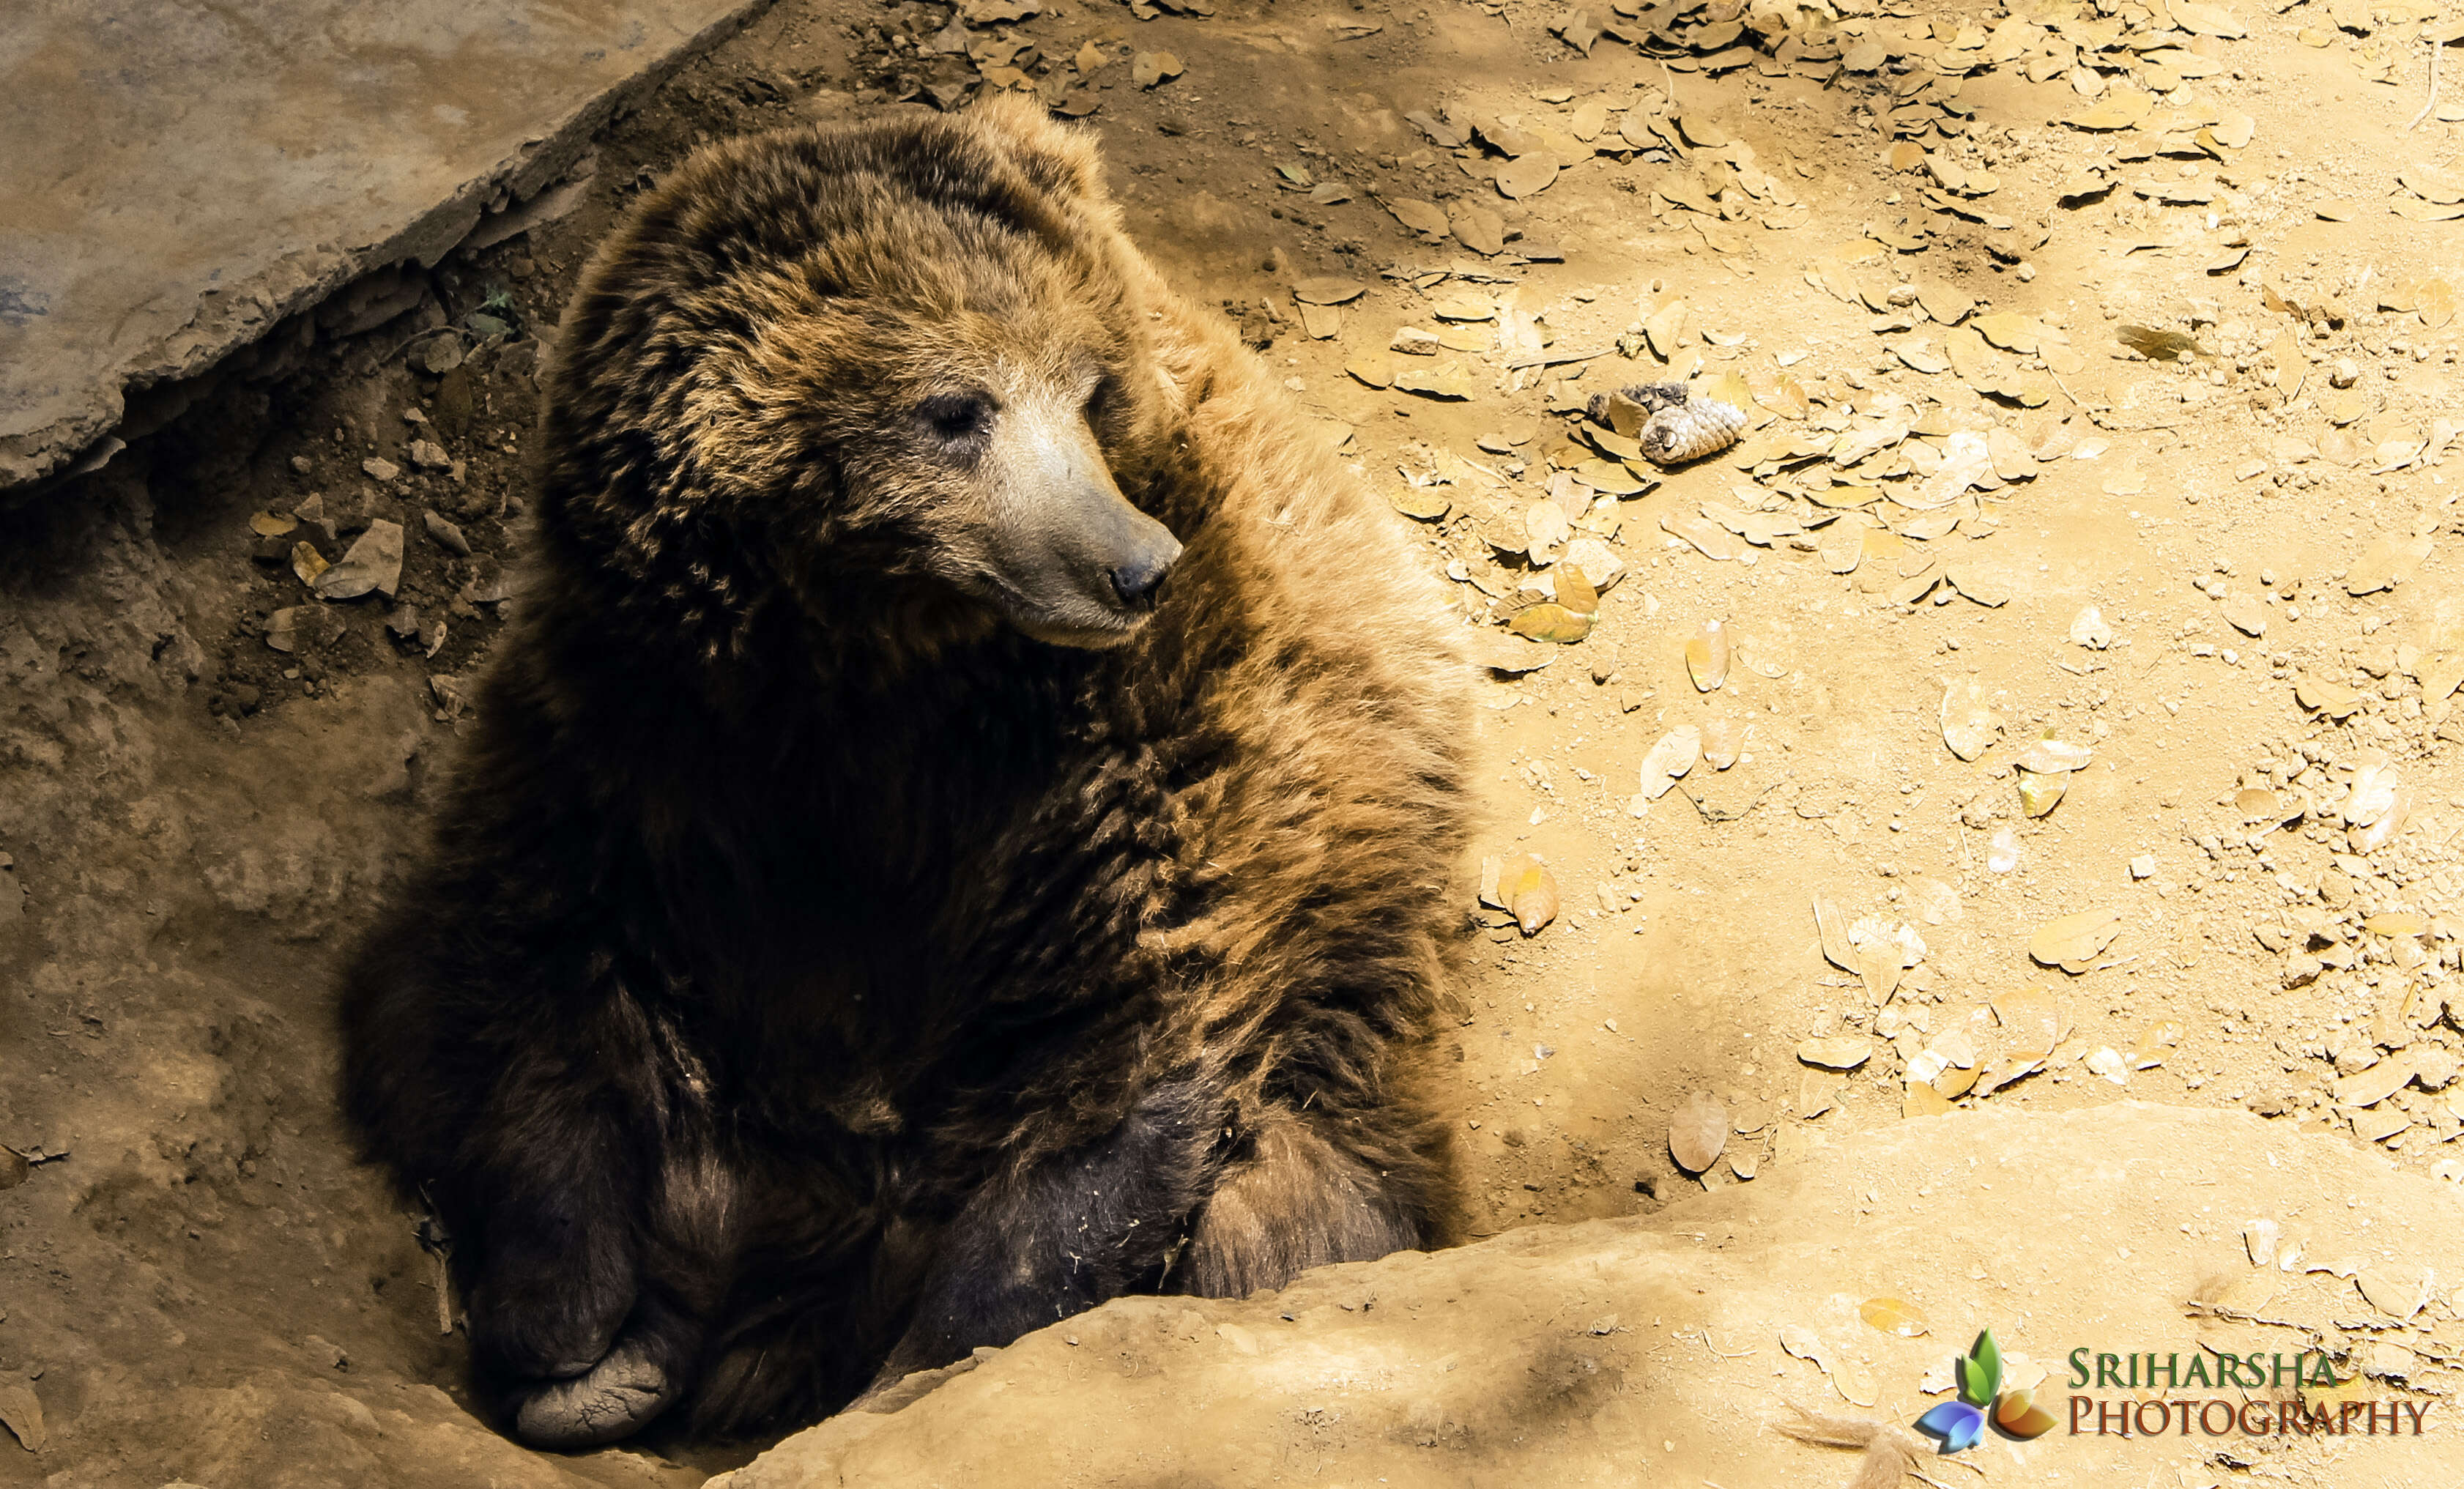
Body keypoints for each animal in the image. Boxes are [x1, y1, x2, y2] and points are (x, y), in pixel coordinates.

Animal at [340, 96, 1468, 1439]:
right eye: (954, 409)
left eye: (1090, 390)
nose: (1132, 563)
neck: (877, 670)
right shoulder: (643, 730)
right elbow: (523, 965)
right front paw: (567, 1313)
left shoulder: (1159, 765)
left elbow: (1120, 1052)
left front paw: (949, 1338)